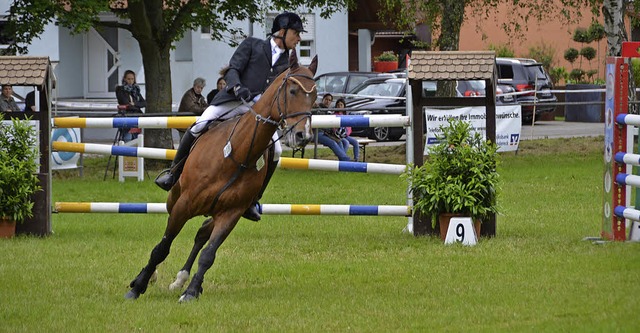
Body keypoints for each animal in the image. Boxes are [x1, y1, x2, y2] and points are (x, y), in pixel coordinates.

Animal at [125, 51, 318, 300]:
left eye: (314, 96)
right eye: (293, 91)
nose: (304, 136)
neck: (237, 153)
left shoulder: (231, 213)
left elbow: (208, 254)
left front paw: (191, 291)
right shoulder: (184, 205)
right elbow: (162, 248)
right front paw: (138, 287)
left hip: (213, 210)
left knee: (201, 234)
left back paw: (181, 279)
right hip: (175, 198)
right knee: (170, 235)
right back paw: (151, 276)